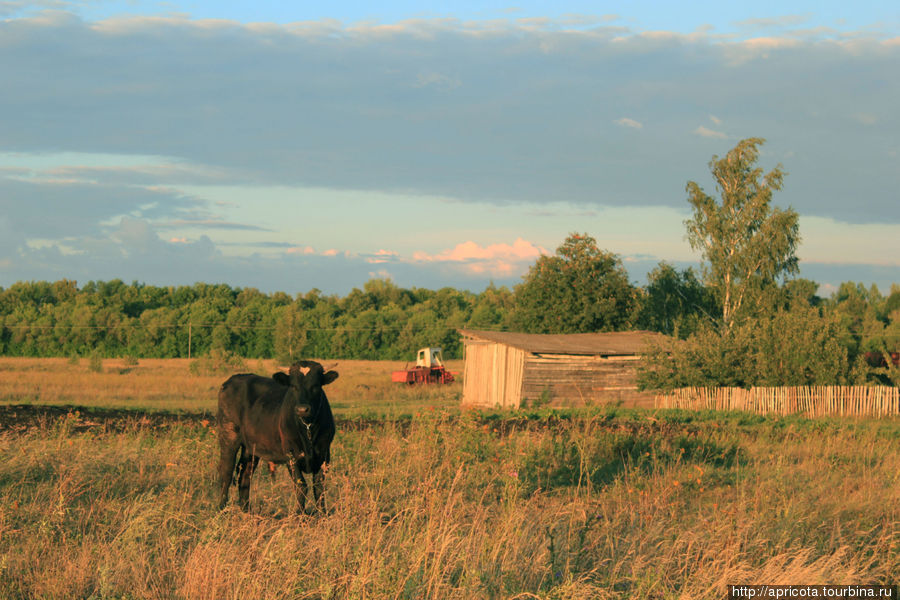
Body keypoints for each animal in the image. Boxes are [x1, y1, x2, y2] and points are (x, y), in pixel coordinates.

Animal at [217, 358, 338, 512]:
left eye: (316, 385)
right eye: (293, 386)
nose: (302, 409)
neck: (308, 427)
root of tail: (232, 379)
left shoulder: (324, 453)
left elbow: (319, 487)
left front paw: (322, 514)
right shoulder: (291, 454)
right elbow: (301, 486)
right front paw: (300, 514)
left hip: (251, 447)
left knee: (244, 475)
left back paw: (246, 511)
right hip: (228, 435)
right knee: (226, 472)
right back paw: (221, 509)